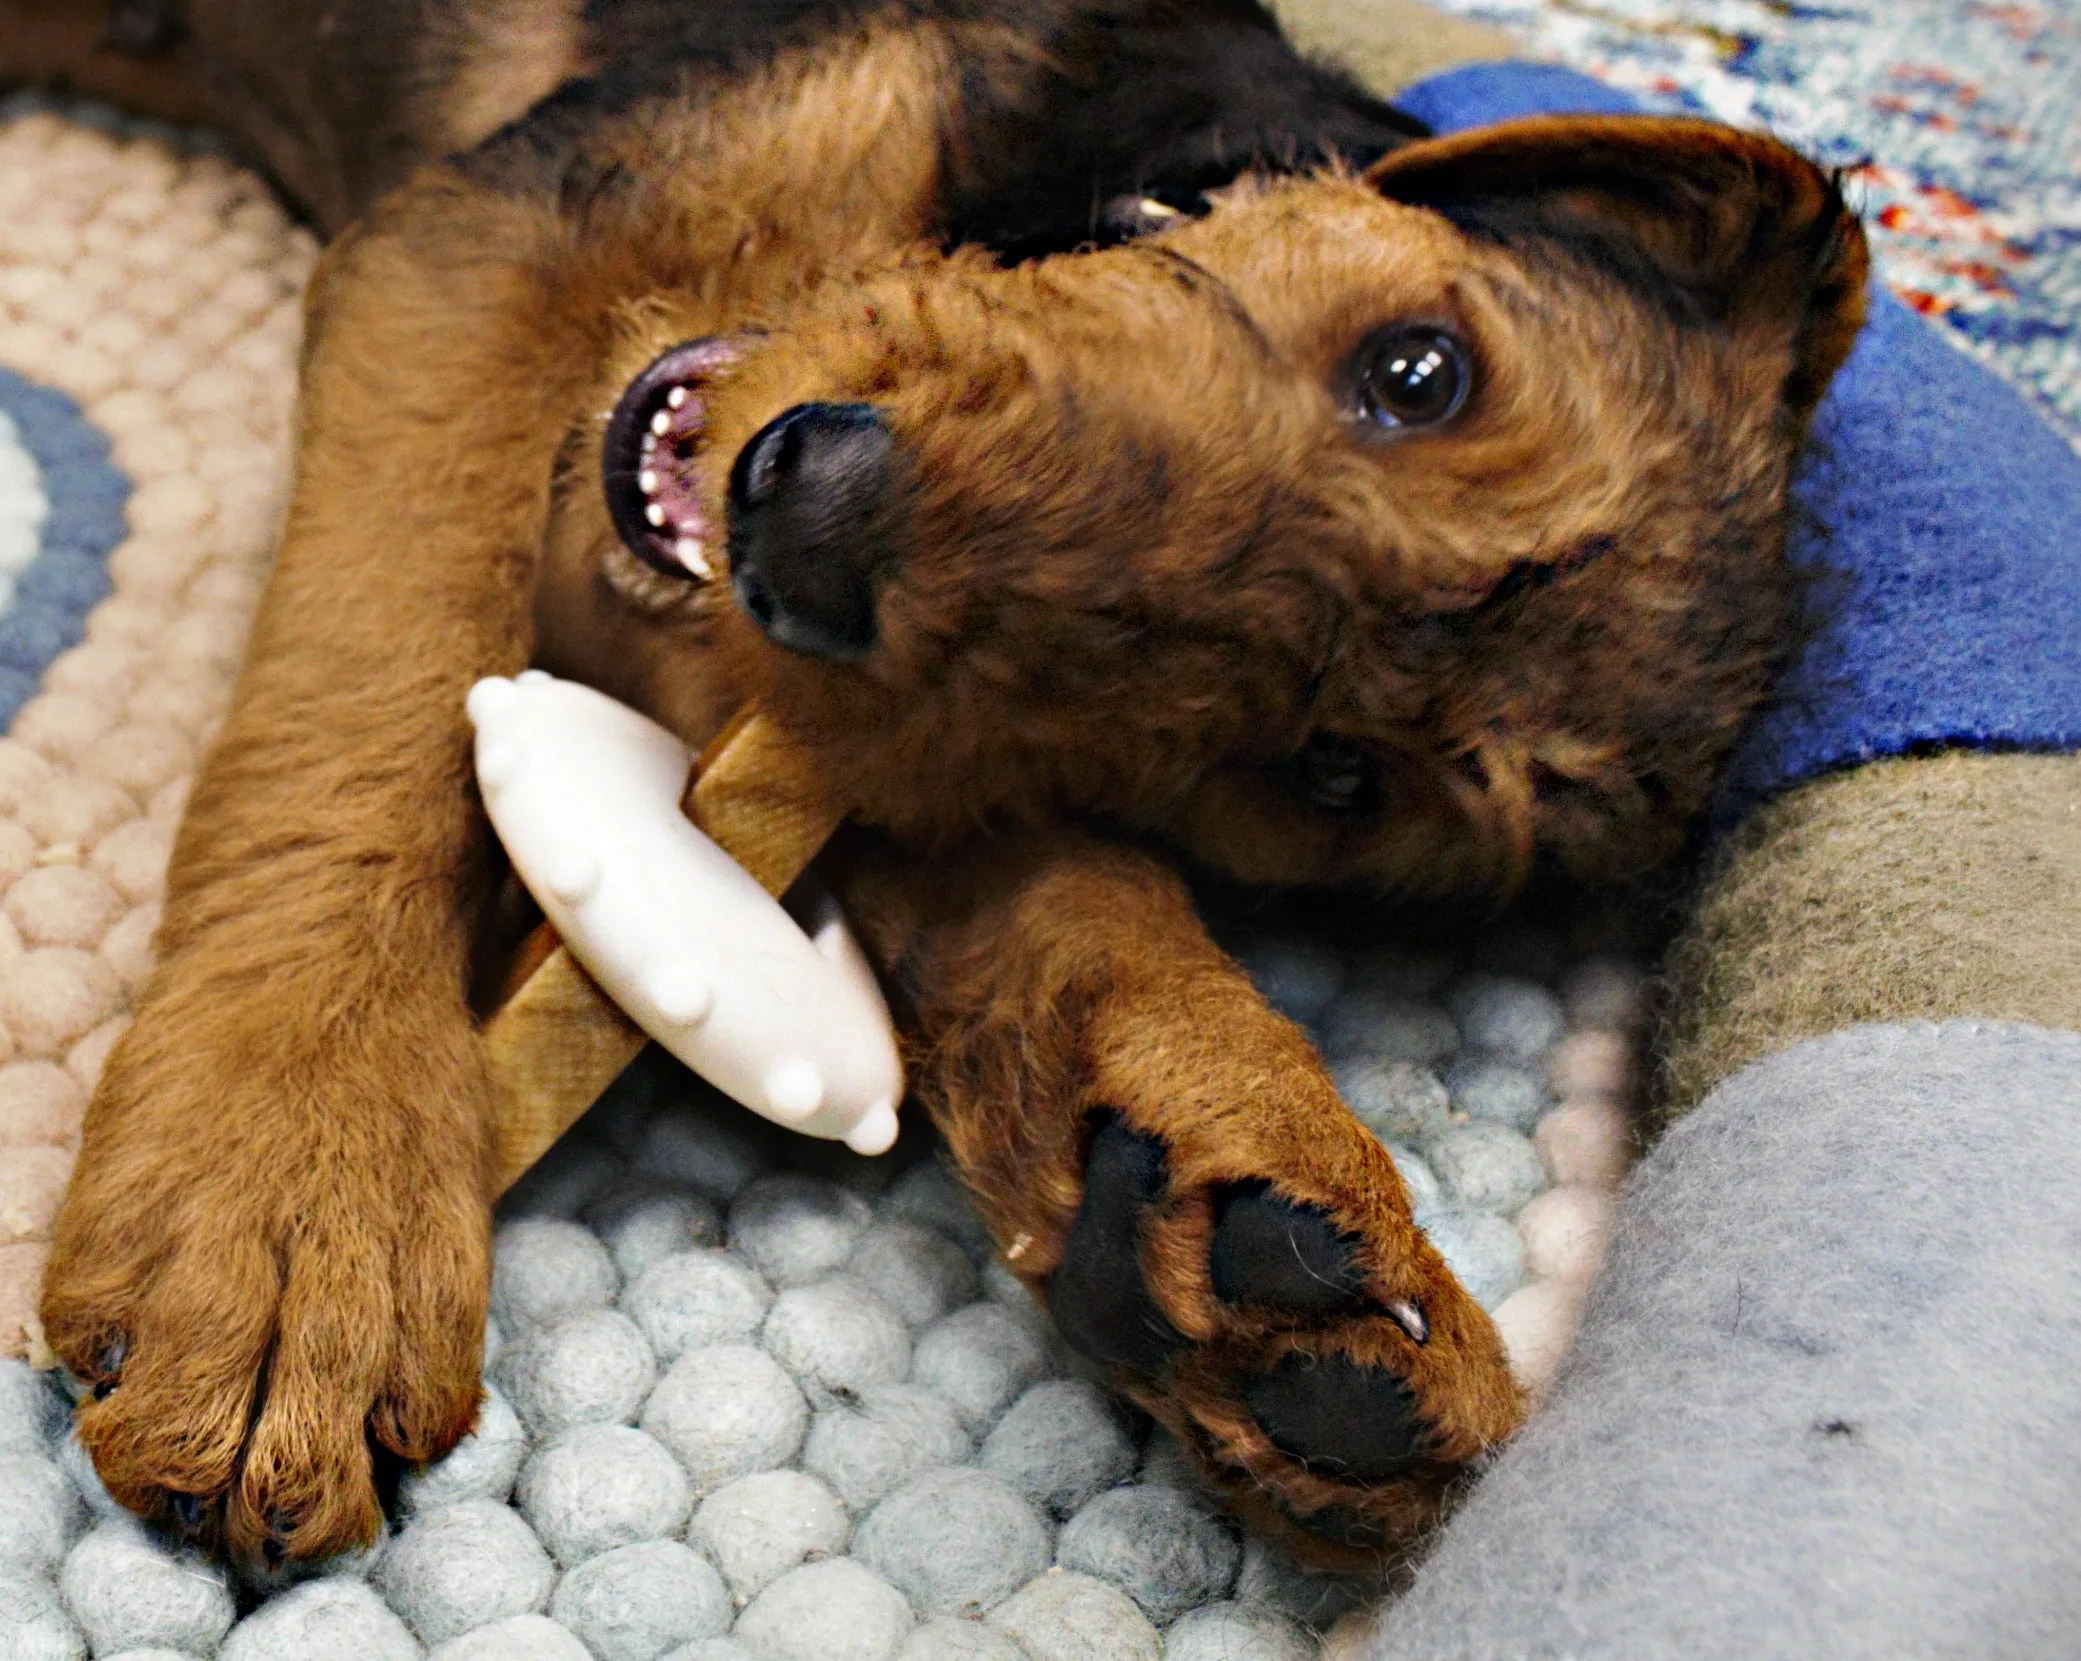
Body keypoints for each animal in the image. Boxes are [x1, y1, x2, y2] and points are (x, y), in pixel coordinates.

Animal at [8, 0, 1872, 1573]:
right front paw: (286, 1194)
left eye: (1329, 768)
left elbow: (1067, 900)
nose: (815, 524)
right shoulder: (497, 239)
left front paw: (1251, 1232)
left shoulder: (844, 735)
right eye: (1419, 371)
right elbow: (375, 667)